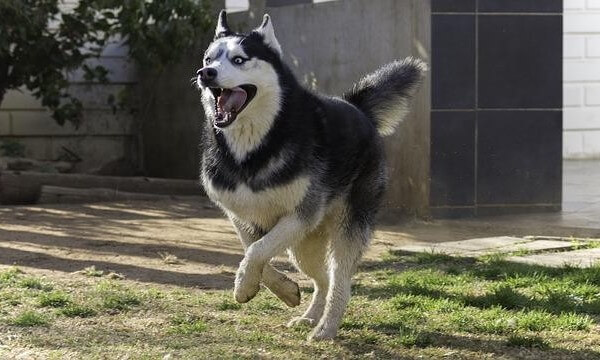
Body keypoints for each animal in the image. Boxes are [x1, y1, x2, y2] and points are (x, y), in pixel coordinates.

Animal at [195, 9, 424, 338]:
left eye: (239, 59)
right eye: (208, 58)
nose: (206, 73)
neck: (255, 147)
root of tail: (358, 108)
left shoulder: (301, 214)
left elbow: (257, 251)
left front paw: (243, 286)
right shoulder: (241, 216)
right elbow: (253, 249)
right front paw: (281, 289)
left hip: (345, 229)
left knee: (340, 280)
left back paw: (326, 327)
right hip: (303, 246)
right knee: (323, 279)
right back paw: (311, 317)